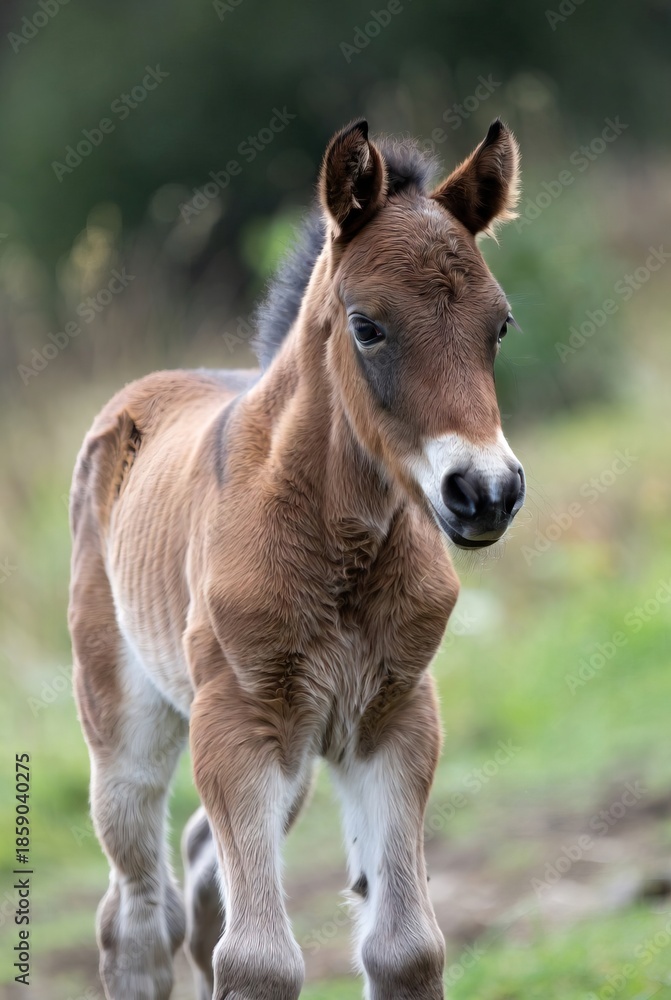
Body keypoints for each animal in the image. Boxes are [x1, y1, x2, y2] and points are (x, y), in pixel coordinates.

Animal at [68, 117, 525, 1000]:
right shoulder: (237, 723)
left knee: (201, 866)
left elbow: (404, 947)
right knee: (136, 911)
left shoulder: (392, 720)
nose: (484, 492)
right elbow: (259, 961)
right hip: (127, 725)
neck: (340, 547)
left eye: (499, 325)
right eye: (367, 325)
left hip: (297, 759)